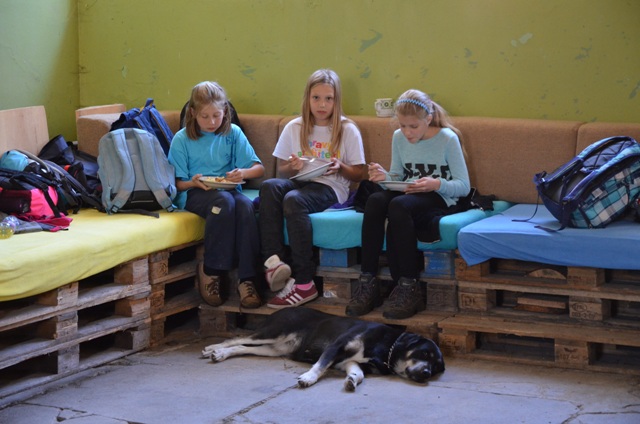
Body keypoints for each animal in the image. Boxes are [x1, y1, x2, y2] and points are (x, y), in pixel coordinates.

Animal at [201, 307, 445, 391]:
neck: (385, 348)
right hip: (273, 332)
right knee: (236, 338)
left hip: (273, 349)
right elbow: (320, 366)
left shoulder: (350, 361)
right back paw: (213, 348)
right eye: (425, 353)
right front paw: (308, 378)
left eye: (436, 367)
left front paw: (352, 381)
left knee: (241, 346)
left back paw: (221, 355)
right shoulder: (336, 347)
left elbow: (358, 373)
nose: (426, 374)